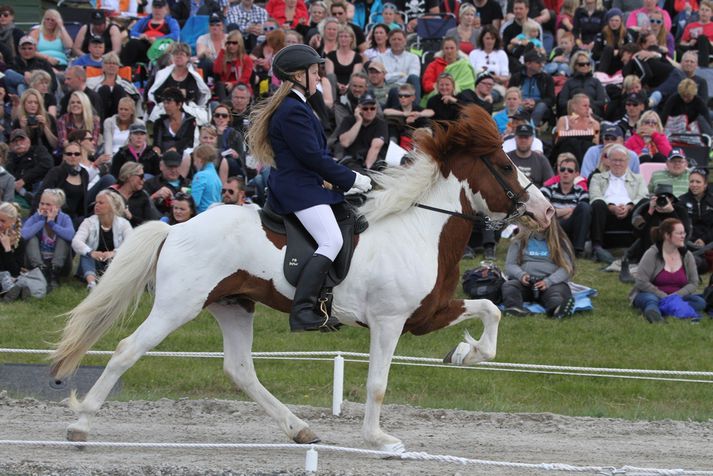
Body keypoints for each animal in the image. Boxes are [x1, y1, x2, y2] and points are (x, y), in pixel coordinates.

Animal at [52, 107, 552, 454]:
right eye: (504, 166)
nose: (546, 212)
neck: (420, 228)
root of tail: (176, 228)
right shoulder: (390, 322)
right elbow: (378, 383)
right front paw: (380, 440)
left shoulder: (426, 314)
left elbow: (490, 309)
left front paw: (467, 354)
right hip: (179, 305)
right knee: (127, 350)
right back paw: (79, 425)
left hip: (233, 304)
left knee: (240, 370)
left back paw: (300, 429)